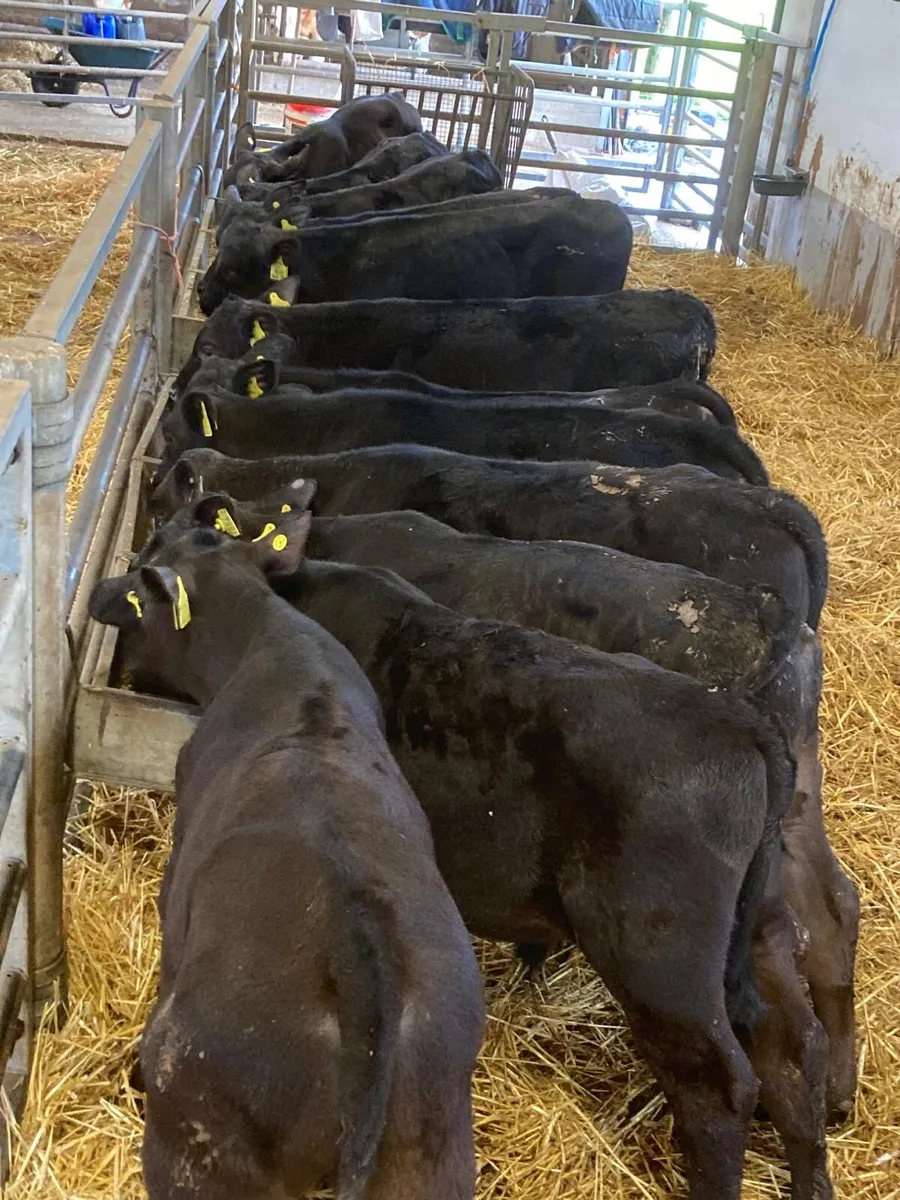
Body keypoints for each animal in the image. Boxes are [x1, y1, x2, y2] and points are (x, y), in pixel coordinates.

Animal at [88, 528, 485, 1199]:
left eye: (142, 573)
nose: (96, 590)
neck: (269, 636)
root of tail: (361, 966)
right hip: (432, 1156)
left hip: (200, 1143)